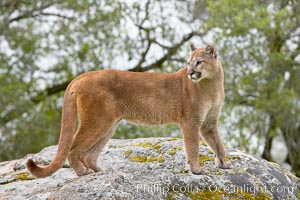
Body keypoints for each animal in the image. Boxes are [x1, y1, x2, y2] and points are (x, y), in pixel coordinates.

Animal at [26, 44, 232, 177]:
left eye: (198, 62)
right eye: (188, 63)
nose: (190, 73)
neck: (212, 84)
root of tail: (82, 76)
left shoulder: (208, 122)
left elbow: (218, 144)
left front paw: (224, 164)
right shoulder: (191, 121)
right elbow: (193, 147)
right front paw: (197, 170)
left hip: (108, 125)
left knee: (87, 153)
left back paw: (99, 171)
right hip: (98, 122)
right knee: (73, 148)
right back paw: (82, 172)